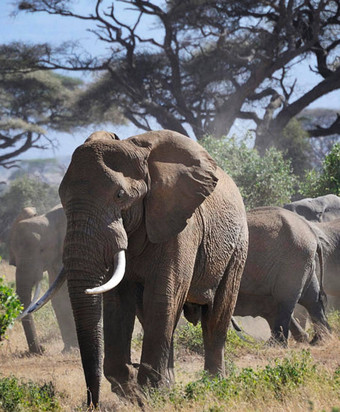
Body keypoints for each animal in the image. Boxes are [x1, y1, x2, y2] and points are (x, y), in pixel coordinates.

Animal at [23, 130, 247, 408]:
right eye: (62, 199)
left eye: (120, 196)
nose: (92, 404)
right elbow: (119, 301)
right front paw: (136, 392)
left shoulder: (180, 225)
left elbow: (163, 296)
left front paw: (148, 391)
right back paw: (169, 386)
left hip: (237, 246)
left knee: (216, 314)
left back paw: (213, 384)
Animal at [232, 205, 330, 344]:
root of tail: (313, 234)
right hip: (304, 263)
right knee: (312, 299)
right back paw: (320, 340)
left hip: (293, 261)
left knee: (285, 301)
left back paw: (276, 344)